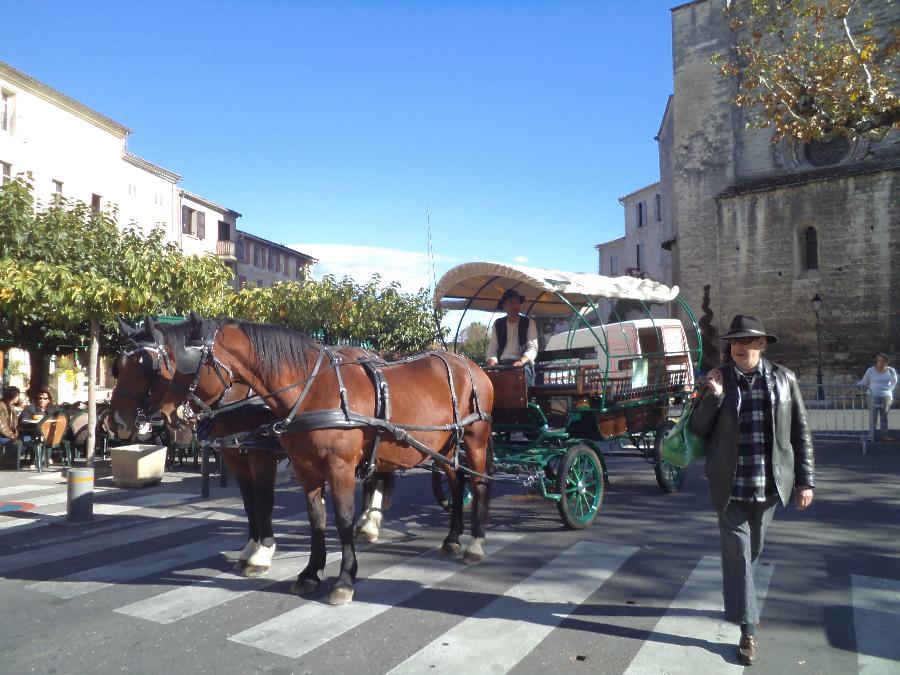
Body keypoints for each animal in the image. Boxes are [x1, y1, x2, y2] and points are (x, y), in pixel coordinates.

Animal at [155, 316, 492, 608]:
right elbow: (315, 519)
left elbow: (342, 520)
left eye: (188, 362)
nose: (168, 414)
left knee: (478, 484)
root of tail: (470, 364)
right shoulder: (306, 469)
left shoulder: (338, 468)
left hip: (475, 442)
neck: (313, 390)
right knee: (456, 482)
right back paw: (452, 538)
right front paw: (310, 572)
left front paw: (344, 579)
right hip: (445, 448)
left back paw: (475, 543)